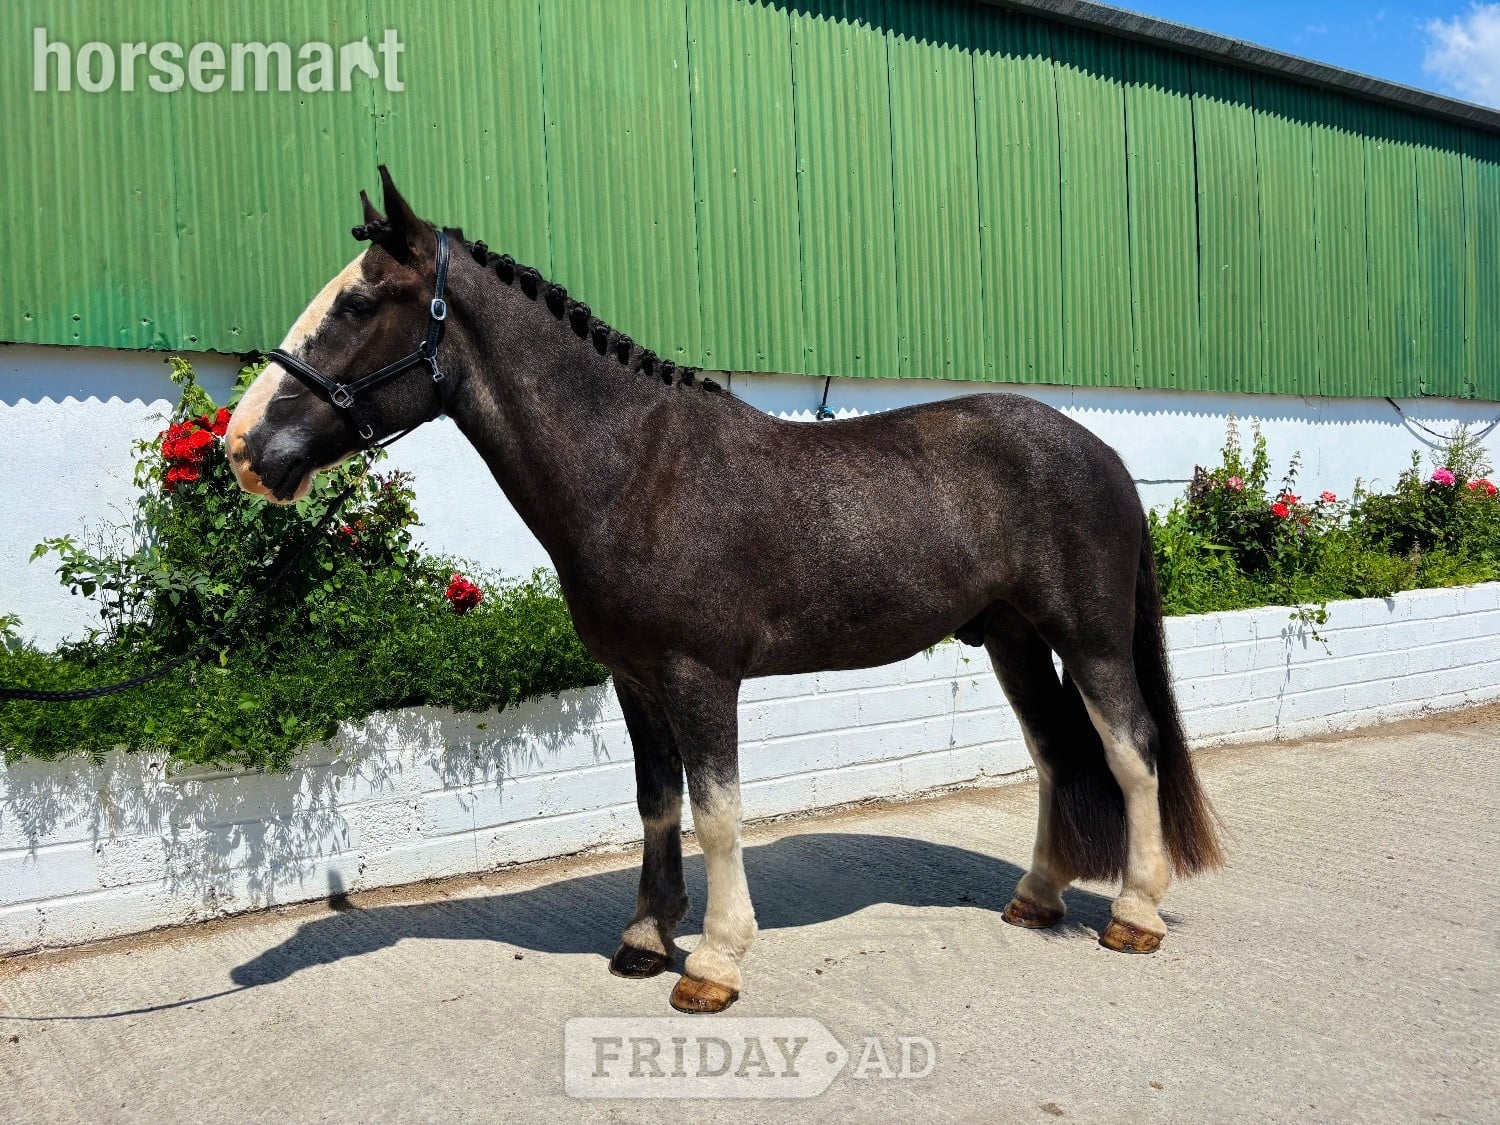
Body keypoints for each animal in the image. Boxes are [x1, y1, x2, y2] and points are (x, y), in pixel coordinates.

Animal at [226, 168, 1223, 1013]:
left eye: (358, 302)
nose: (242, 445)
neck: (636, 468)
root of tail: (1102, 452)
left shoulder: (699, 676)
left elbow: (715, 811)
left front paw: (711, 958)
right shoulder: (634, 679)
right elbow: (656, 801)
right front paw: (643, 936)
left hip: (1090, 638)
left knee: (1130, 751)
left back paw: (1135, 913)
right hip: (1013, 637)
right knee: (1056, 753)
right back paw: (1037, 895)